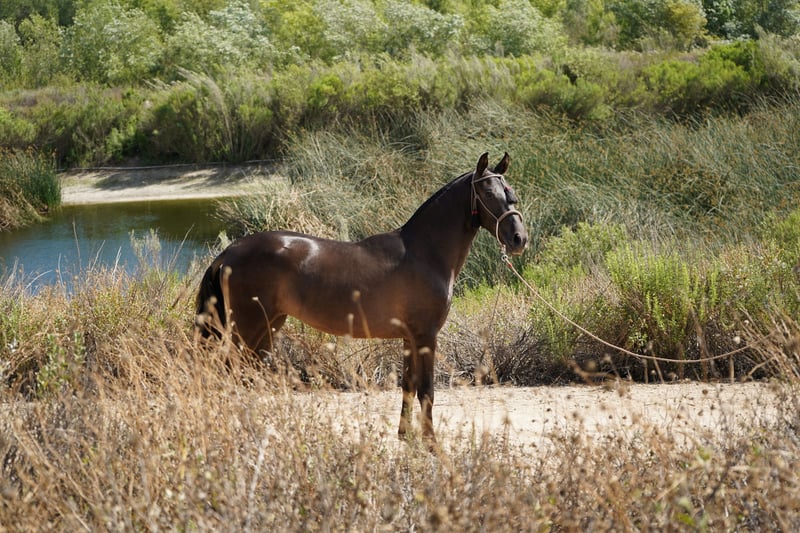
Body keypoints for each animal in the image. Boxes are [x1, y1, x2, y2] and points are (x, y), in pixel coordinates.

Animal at [195, 152, 527, 443]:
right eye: (488, 193)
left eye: (510, 193)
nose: (519, 239)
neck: (425, 253)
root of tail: (227, 254)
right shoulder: (426, 336)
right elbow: (427, 390)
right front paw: (432, 443)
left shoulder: (410, 337)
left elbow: (408, 385)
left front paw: (406, 437)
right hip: (246, 330)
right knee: (228, 374)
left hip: (267, 327)